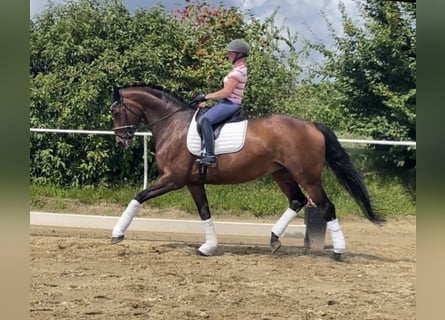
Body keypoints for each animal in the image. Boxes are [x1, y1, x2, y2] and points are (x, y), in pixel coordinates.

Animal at [109, 84, 384, 258]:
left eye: (115, 111)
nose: (121, 141)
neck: (173, 125)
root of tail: (312, 126)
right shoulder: (193, 182)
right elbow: (204, 212)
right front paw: (208, 247)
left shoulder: (172, 179)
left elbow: (139, 197)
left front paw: (117, 233)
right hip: (282, 173)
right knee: (297, 200)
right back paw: (274, 240)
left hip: (307, 177)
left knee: (325, 206)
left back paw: (338, 251)